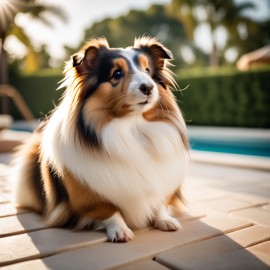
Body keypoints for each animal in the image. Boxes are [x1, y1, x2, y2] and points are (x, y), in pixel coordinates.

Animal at [12, 36, 188, 243]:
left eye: (147, 71)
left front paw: (165, 220)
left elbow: (160, 202)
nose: (148, 87)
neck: (131, 127)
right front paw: (120, 230)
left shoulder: (164, 184)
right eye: (117, 73)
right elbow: (109, 210)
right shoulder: (89, 198)